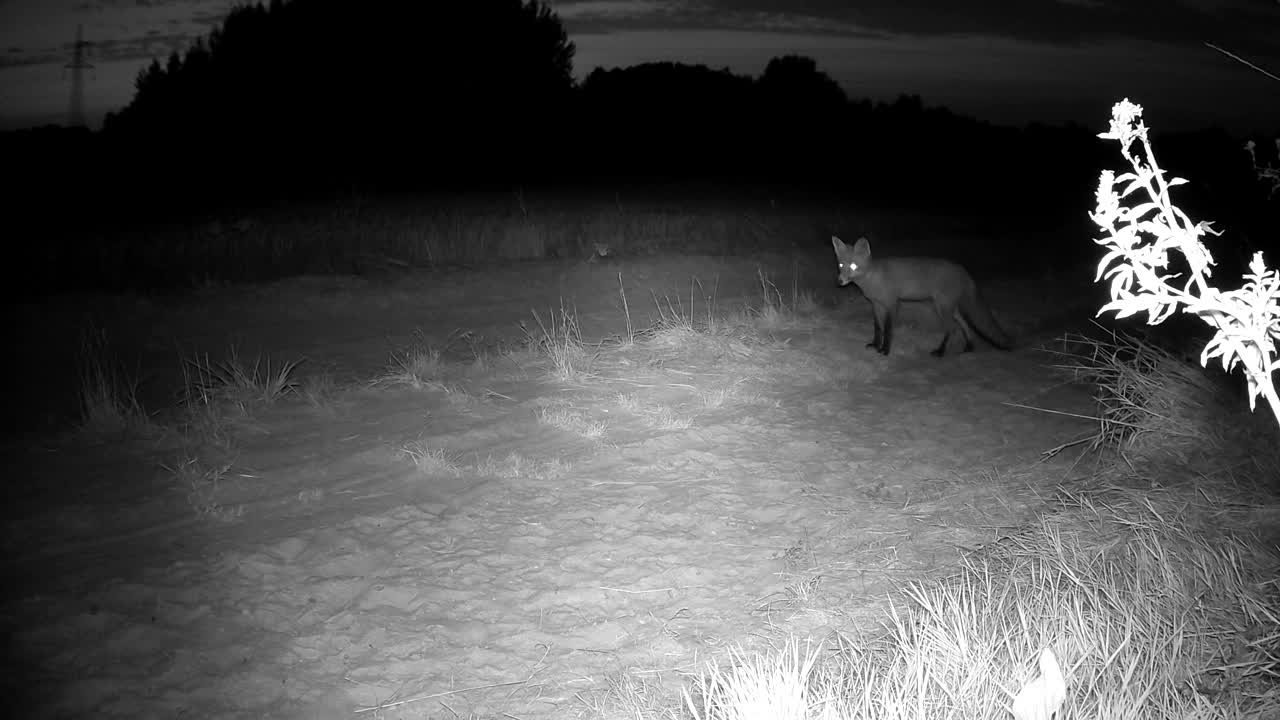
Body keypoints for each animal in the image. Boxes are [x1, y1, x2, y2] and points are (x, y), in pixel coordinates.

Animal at [834, 235, 1013, 356]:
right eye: (841, 265)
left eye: (854, 266)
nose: (840, 281)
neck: (873, 279)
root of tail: (961, 268)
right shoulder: (876, 305)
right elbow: (878, 328)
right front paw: (875, 345)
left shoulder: (892, 304)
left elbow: (888, 329)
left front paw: (885, 350)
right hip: (950, 308)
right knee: (964, 325)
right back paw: (969, 347)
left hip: (942, 307)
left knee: (952, 328)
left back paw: (941, 351)